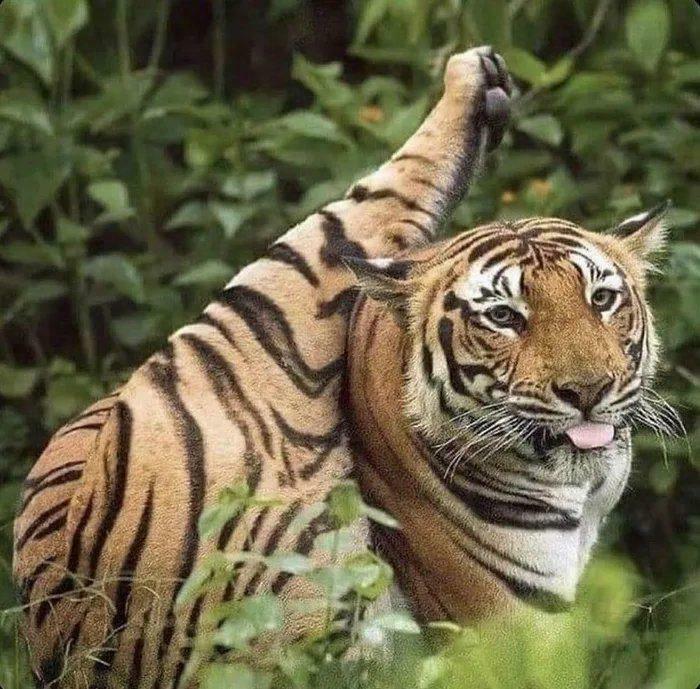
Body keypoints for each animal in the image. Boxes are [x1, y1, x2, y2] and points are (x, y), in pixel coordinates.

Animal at [12, 45, 679, 688]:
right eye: (503, 316)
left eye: (602, 300)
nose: (588, 390)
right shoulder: (508, 631)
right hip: (267, 315)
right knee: (355, 211)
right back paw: (471, 77)